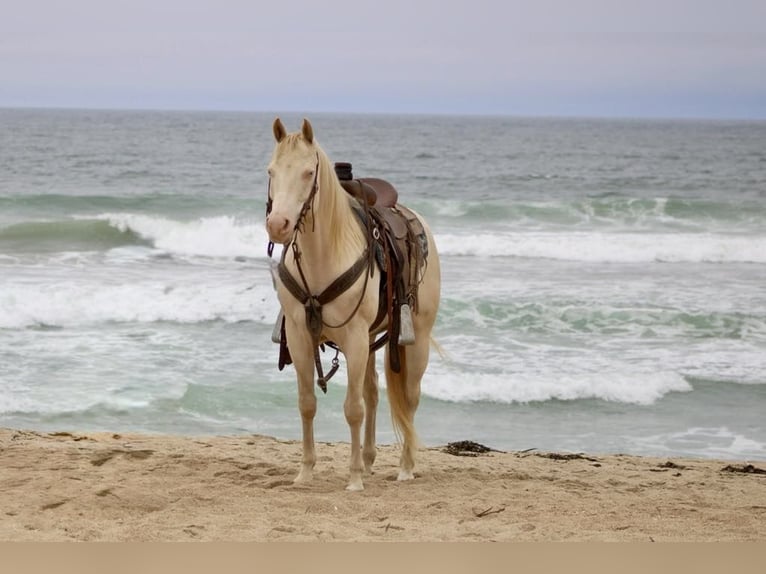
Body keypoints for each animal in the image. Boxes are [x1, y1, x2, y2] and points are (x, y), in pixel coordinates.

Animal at [265, 117, 441, 491]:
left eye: (308, 172)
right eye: (271, 171)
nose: (277, 225)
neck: (323, 256)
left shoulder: (356, 339)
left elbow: (352, 408)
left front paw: (355, 478)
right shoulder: (300, 338)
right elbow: (307, 403)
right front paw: (305, 472)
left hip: (415, 338)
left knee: (410, 396)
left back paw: (405, 467)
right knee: (373, 392)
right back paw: (371, 459)